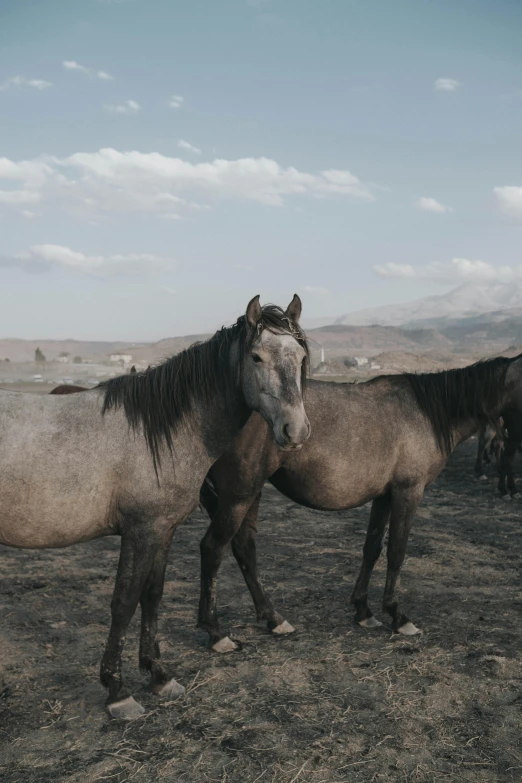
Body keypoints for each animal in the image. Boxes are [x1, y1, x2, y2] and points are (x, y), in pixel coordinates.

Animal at [0, 294, 308, 716]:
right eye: (257, 357)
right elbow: (124, 602)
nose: (296, 431)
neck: (157, 433)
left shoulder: (163, 530)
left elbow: (152, 596)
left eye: (301, 356)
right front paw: (117, 691)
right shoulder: (141, 531)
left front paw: (159, 675)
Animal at [196, 356, 520, 648]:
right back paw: (216, 633)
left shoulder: (384, 496)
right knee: (213, 549)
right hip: (238, 495)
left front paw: (363, 610)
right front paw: (398, 616)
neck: (426, 413)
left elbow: (372, 548)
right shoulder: (408, 492)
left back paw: (273, 619)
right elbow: (397, 552)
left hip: (250, 494)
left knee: (244, 547)